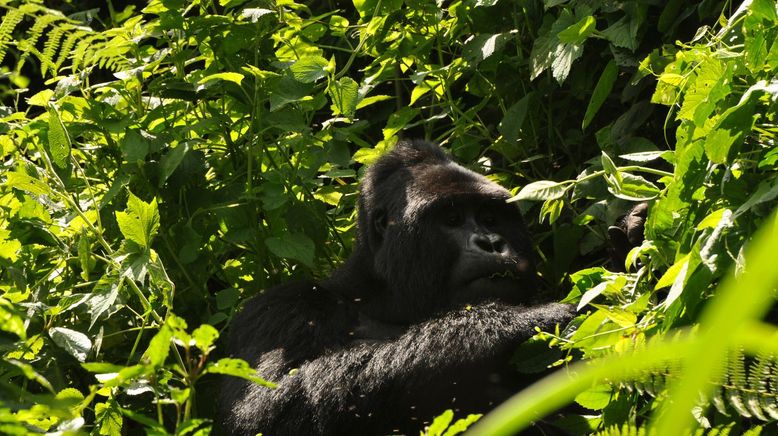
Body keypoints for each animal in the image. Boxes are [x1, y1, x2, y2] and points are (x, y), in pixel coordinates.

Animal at [218, 141, 576, 434]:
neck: (383, 298)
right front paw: (503, 325)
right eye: (452, 219)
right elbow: (266, 409)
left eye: (490, 218)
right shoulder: (279, 311)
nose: (490, 243)